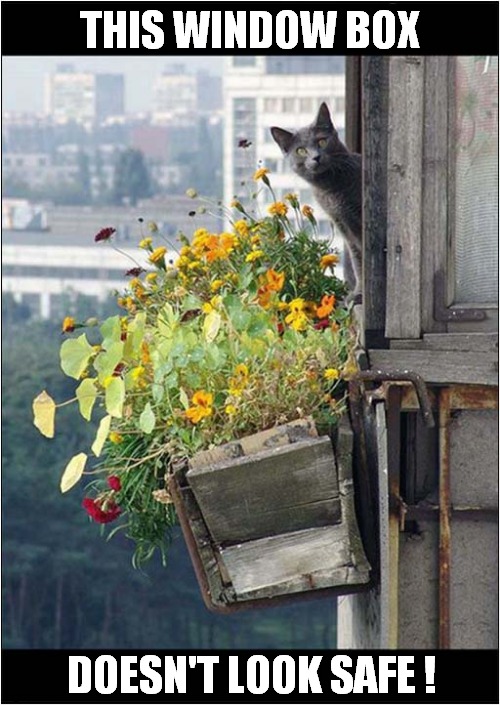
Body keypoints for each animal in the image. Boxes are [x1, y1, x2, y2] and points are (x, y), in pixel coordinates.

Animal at [272, 102, 362, 302]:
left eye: (322, 141)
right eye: (301, 150)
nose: (316, 157)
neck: (331, 190)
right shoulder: (342, 224)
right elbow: (357, 259)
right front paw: (358, 294)